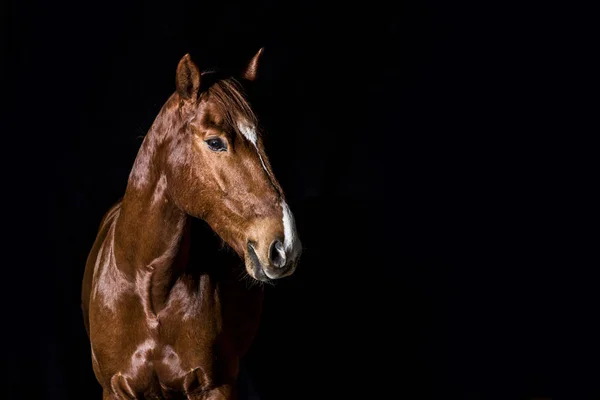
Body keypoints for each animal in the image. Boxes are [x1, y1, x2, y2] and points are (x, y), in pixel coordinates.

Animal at [81, 50, 302, 400]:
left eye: (264, 141)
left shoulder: (217, 387)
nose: (285, 246)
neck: (151, 291)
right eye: (215, 142)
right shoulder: (115, 389)